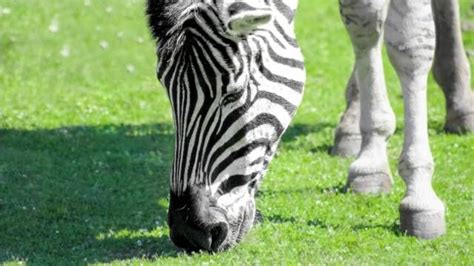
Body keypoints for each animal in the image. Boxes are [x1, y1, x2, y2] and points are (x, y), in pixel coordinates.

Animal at [146, 0, 464, 251]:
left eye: (233, 93)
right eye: (168, 94)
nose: (189, 231)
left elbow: (411, 44)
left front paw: (419, 194)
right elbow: (363, 21)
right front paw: (371, 160)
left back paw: (459, 102)